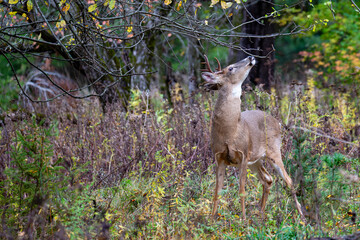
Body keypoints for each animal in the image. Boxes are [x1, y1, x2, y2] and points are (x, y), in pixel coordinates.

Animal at [201, 55, 306, 222]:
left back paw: (302, 217)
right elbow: (217, 191)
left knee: (288, 180)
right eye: (230, 68)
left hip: (274, 151)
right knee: (268, 179)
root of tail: (277, 122)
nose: (250, 57)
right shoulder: (219, 158)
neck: (230, 133)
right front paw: (211, 220)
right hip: (256, 160)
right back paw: (261, 215)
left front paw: (243, 220)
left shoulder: (243, 155)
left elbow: (242, 190)